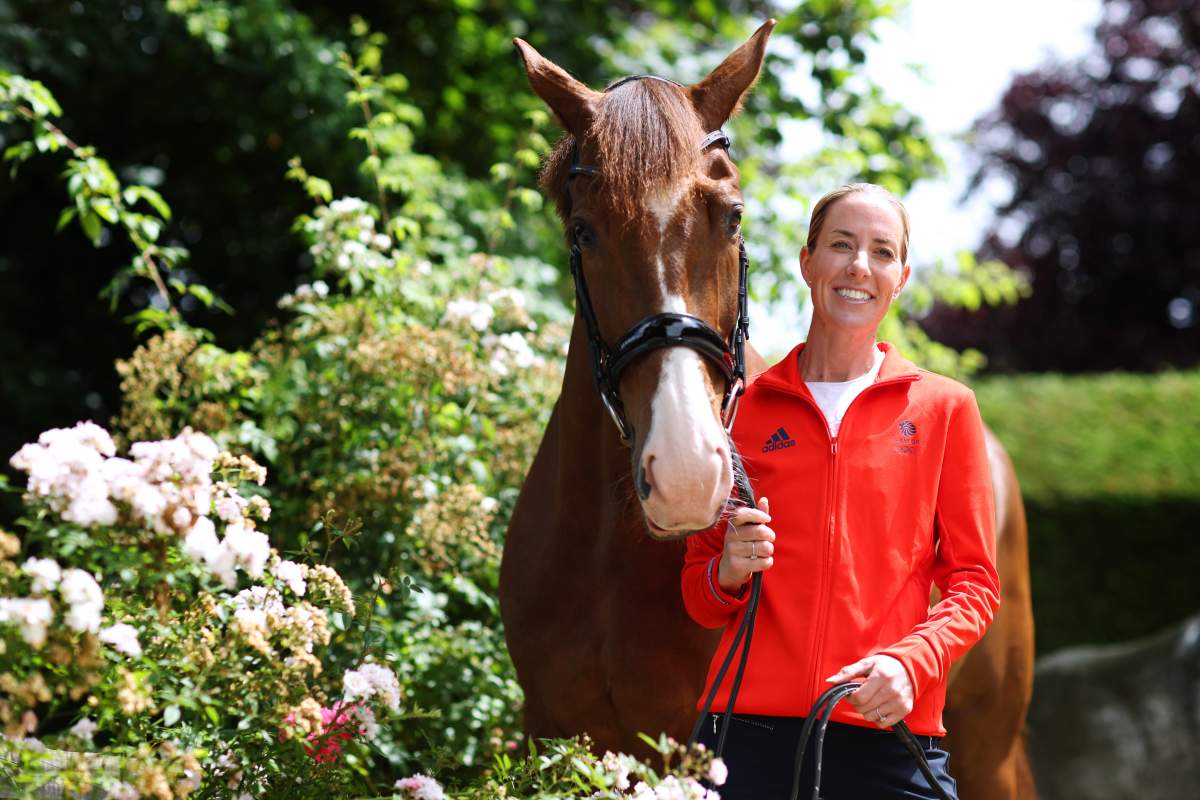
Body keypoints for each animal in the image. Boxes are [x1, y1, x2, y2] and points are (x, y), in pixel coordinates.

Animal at [499, 22, 1037, 799]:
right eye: (583, 231)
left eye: (731, 218)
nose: (688, 473)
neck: (608, 558)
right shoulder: (556, 737)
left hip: (986, 750)